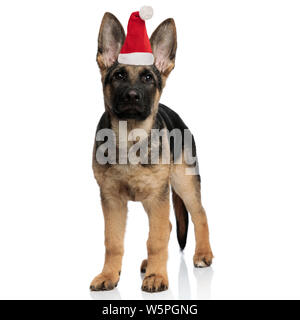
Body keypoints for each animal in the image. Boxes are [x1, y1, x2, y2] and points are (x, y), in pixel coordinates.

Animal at [89, 12, 213, 292]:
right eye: (119, 75)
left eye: (148, 78)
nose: (132, 96)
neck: (130, 138)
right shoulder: (112, 200)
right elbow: (113, 241)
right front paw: (109, 274)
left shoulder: (158, 196)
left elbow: (155, 239)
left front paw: (157, 276)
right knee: (167, 225)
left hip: (183, 184)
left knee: (199, 215)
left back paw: (202, 254)